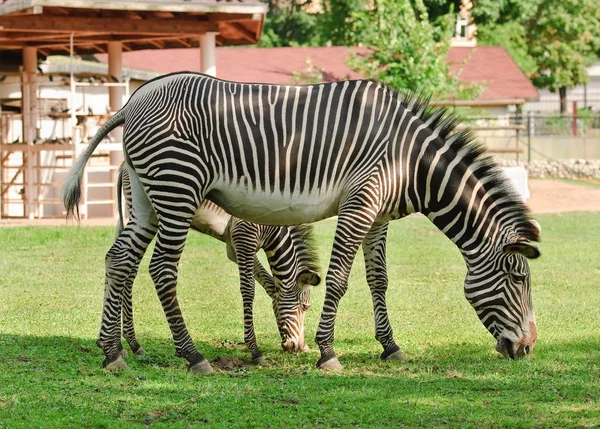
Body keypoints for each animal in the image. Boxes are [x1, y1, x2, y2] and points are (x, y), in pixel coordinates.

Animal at [118, 164, 324, 364]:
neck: (272, 231)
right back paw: (132, 344)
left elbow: (269, 285)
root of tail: (123, 166)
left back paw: (126, 347)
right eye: (305, 306)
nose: (298, 347)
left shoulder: (233, 248)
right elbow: (249, 290)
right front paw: (255, 351)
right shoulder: (244, 239)